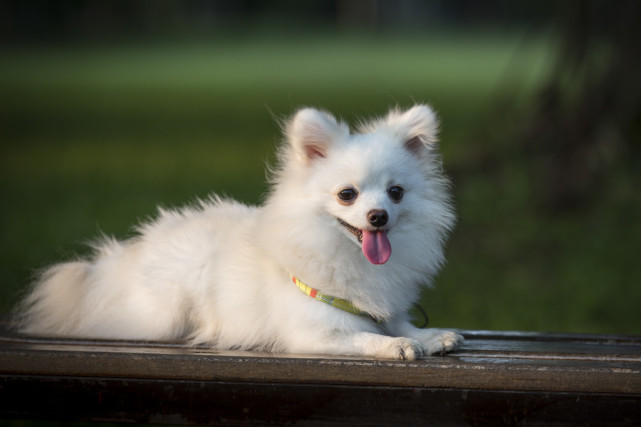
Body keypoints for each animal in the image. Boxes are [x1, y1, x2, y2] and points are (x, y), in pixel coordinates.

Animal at [15, 105, 462, 360]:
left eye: (395, 192)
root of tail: (120, 259)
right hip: (161, 312)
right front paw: (395, 345)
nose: (378, 216)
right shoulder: (312, 333)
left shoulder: (383, 307)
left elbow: (397, 322)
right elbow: (363, 338)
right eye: (347, 194)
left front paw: (427, 335)